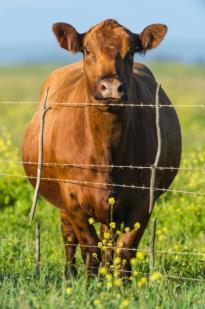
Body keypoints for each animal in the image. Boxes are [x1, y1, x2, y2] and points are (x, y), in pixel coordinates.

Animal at [22, 18, 182, 274]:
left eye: (131, 51)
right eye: (87, 50)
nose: (111, 86)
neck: (107, 151)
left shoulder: (143, 199)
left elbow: (124, 250)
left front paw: (116, 282)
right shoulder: (72, 197)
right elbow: (89, 247)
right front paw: (89, 281)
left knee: (108, 240)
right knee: (69, 237)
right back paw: (69, 274)